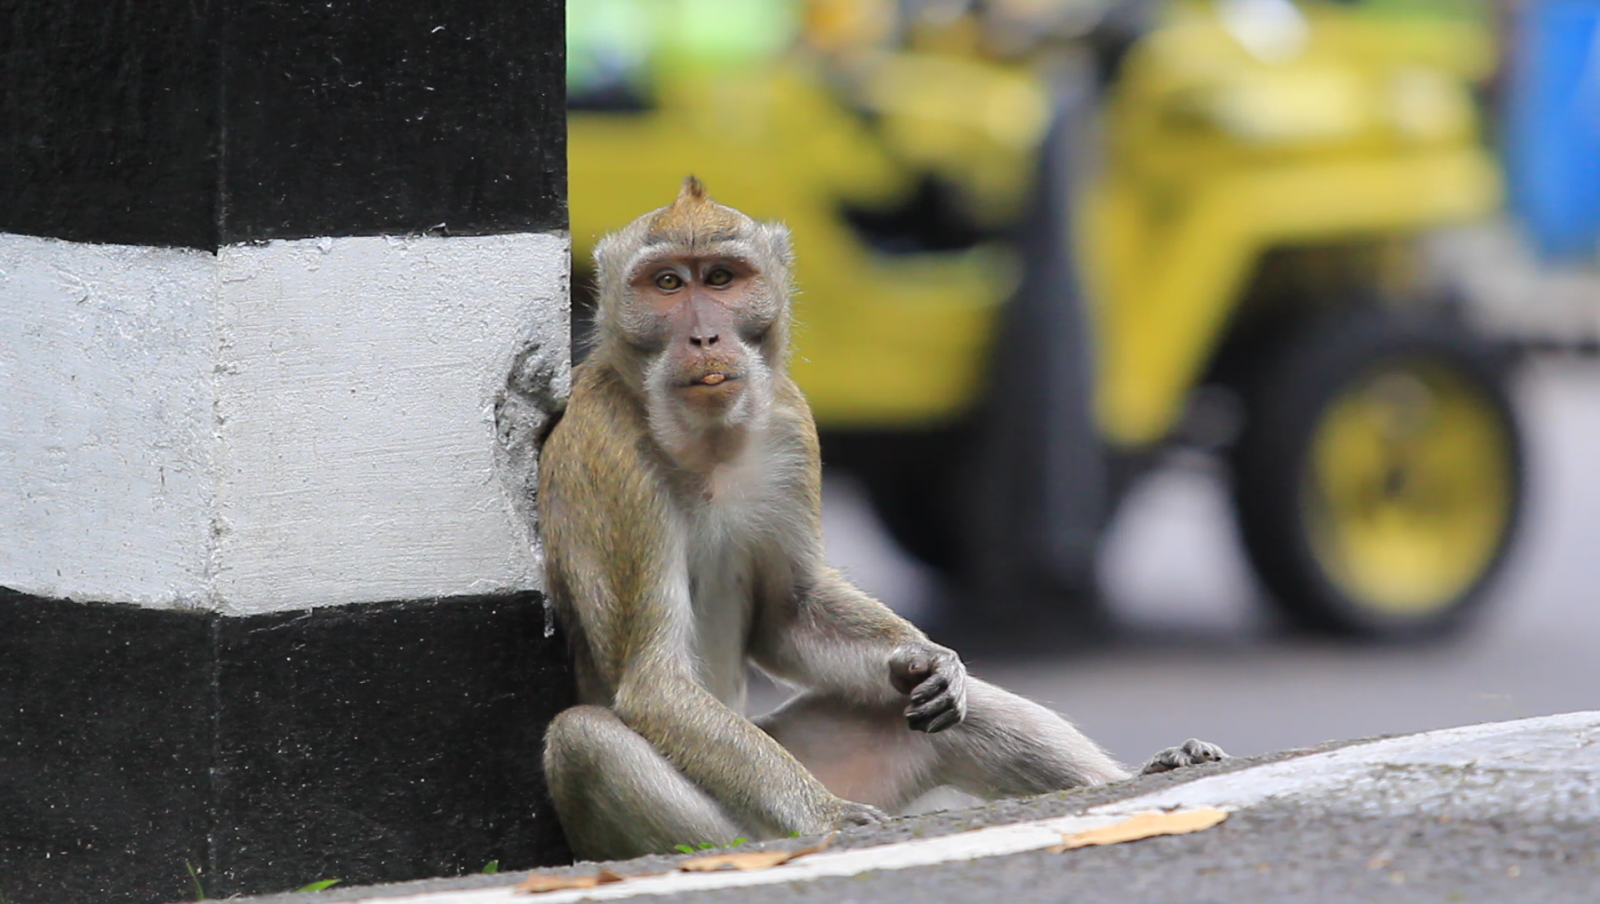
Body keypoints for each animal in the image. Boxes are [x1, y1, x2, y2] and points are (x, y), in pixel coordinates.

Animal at [537, 176, 1222, 857]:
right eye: (668, 284)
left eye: (722, 279)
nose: (704, 337)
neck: (705, 444)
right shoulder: (611, 463)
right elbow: (655, 682)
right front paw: (827, 814)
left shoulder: (789, 425)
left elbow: (789, 614)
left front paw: (926, 657)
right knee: (584, 741)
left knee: (950, 718)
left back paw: (1144, 772)